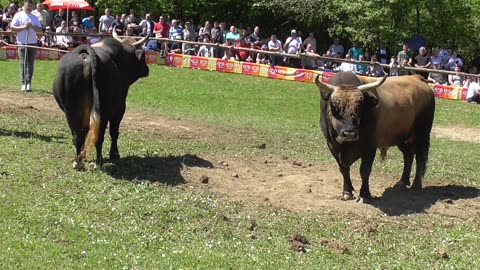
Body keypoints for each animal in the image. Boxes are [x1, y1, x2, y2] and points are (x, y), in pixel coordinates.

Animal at [53, 33, 149, 169]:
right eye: (144, 55)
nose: (147, 69)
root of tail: (86, 55)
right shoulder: (120, 108)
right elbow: (114, 132)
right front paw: (114, 154)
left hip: (71, 111)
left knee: (78, 135)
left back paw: (78, 161)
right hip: (103, 111)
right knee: (99, 137)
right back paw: (99, 162)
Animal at [316, 71, 436, 200]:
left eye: (359, 106)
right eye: (334, 106)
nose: (349, 133)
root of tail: (417, 78)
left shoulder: (370, 147)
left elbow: (365, 170)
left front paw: (364, 194)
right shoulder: (332, 146)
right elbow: (344, 170)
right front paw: (347, 192)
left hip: (422, 134)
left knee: (420, 157)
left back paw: (416, 184)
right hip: (402, 138)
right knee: (408, 156)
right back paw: (402, 182)